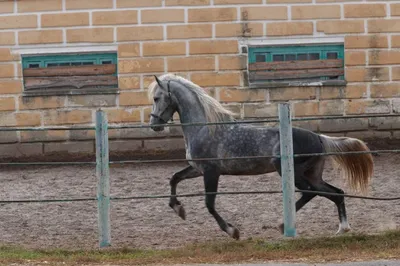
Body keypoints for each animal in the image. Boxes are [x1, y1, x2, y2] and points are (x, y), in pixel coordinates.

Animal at [148, 74, 376, 240]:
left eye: (157, 98)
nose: (154, 125)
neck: (205, 128)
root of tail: (319, 138)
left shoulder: (212, 172)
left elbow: (209, 204)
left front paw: (233, 231)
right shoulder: (198, 169)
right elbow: (174, 178)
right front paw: (178, 209)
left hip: (290, 171)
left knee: (309, 192)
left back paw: (283, 225)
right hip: (313, 174)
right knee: (336, 193)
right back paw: (342, 229)